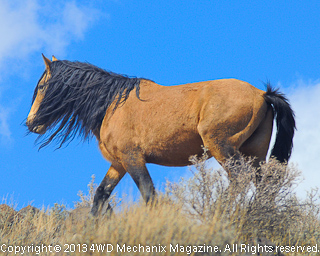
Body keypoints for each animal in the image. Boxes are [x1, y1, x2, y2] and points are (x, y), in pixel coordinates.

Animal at [26, 54, 296, 216]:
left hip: (223, 148)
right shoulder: (118, 164)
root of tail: (262, 94)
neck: (112, 104)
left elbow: (148, 193)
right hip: (254, 154)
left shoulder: (133, 159)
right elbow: (100, 194)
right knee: (264, 185)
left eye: (42, 86)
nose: (31, 123)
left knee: (239, 179)